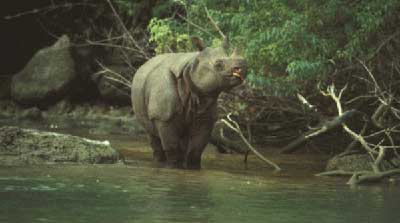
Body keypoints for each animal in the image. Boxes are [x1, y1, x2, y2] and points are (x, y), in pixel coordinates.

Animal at [131, 38, 245, 169]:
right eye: (218, 65)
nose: (241, 69)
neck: (191, 66)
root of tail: (144, 64)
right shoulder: (163, 116)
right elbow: (171, 145)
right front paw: (173, 167)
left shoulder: (205, 114)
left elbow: (197, 148)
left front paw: (193, 168)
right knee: (152, 134)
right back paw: (159, 162)